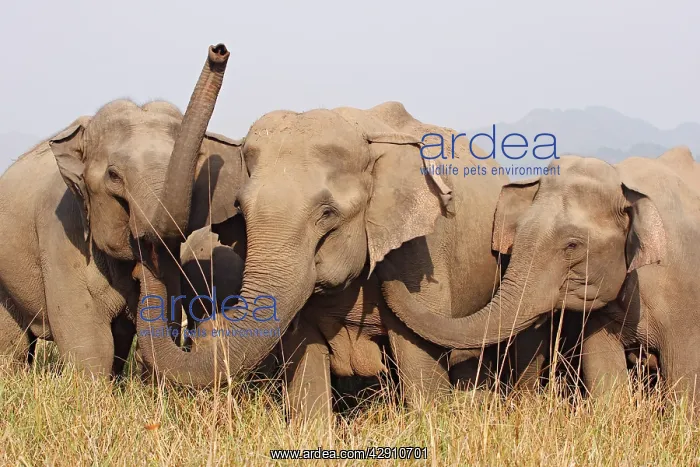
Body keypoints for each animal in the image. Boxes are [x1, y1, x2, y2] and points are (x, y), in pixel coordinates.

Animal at [134, 100, 564, 422]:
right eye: (240, 207)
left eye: (327, 213)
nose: (144, 255)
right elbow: (304, 359)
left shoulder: (422, 252)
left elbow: (419, 359)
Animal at [382, 147, 700, 409]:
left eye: (572, 246)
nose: (386, 265)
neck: (623, 183)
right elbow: (603, 368)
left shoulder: (686, 295)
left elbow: (685, 378)